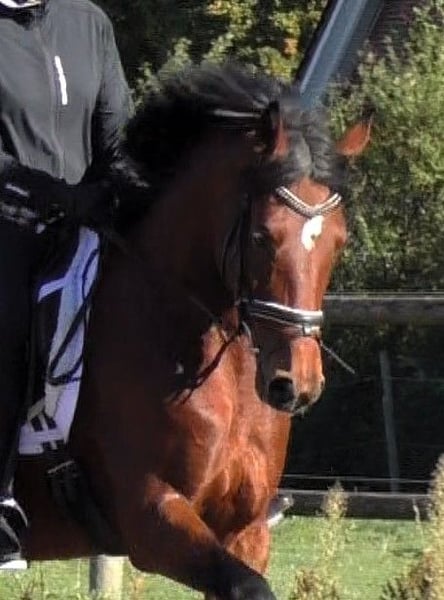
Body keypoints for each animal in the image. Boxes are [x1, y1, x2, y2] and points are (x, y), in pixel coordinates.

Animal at [14, 63, 369, 599]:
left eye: (339, 241)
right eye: (263, 236)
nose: (297, 384)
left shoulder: (246, 530)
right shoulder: (154, 516)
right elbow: (249, 587)